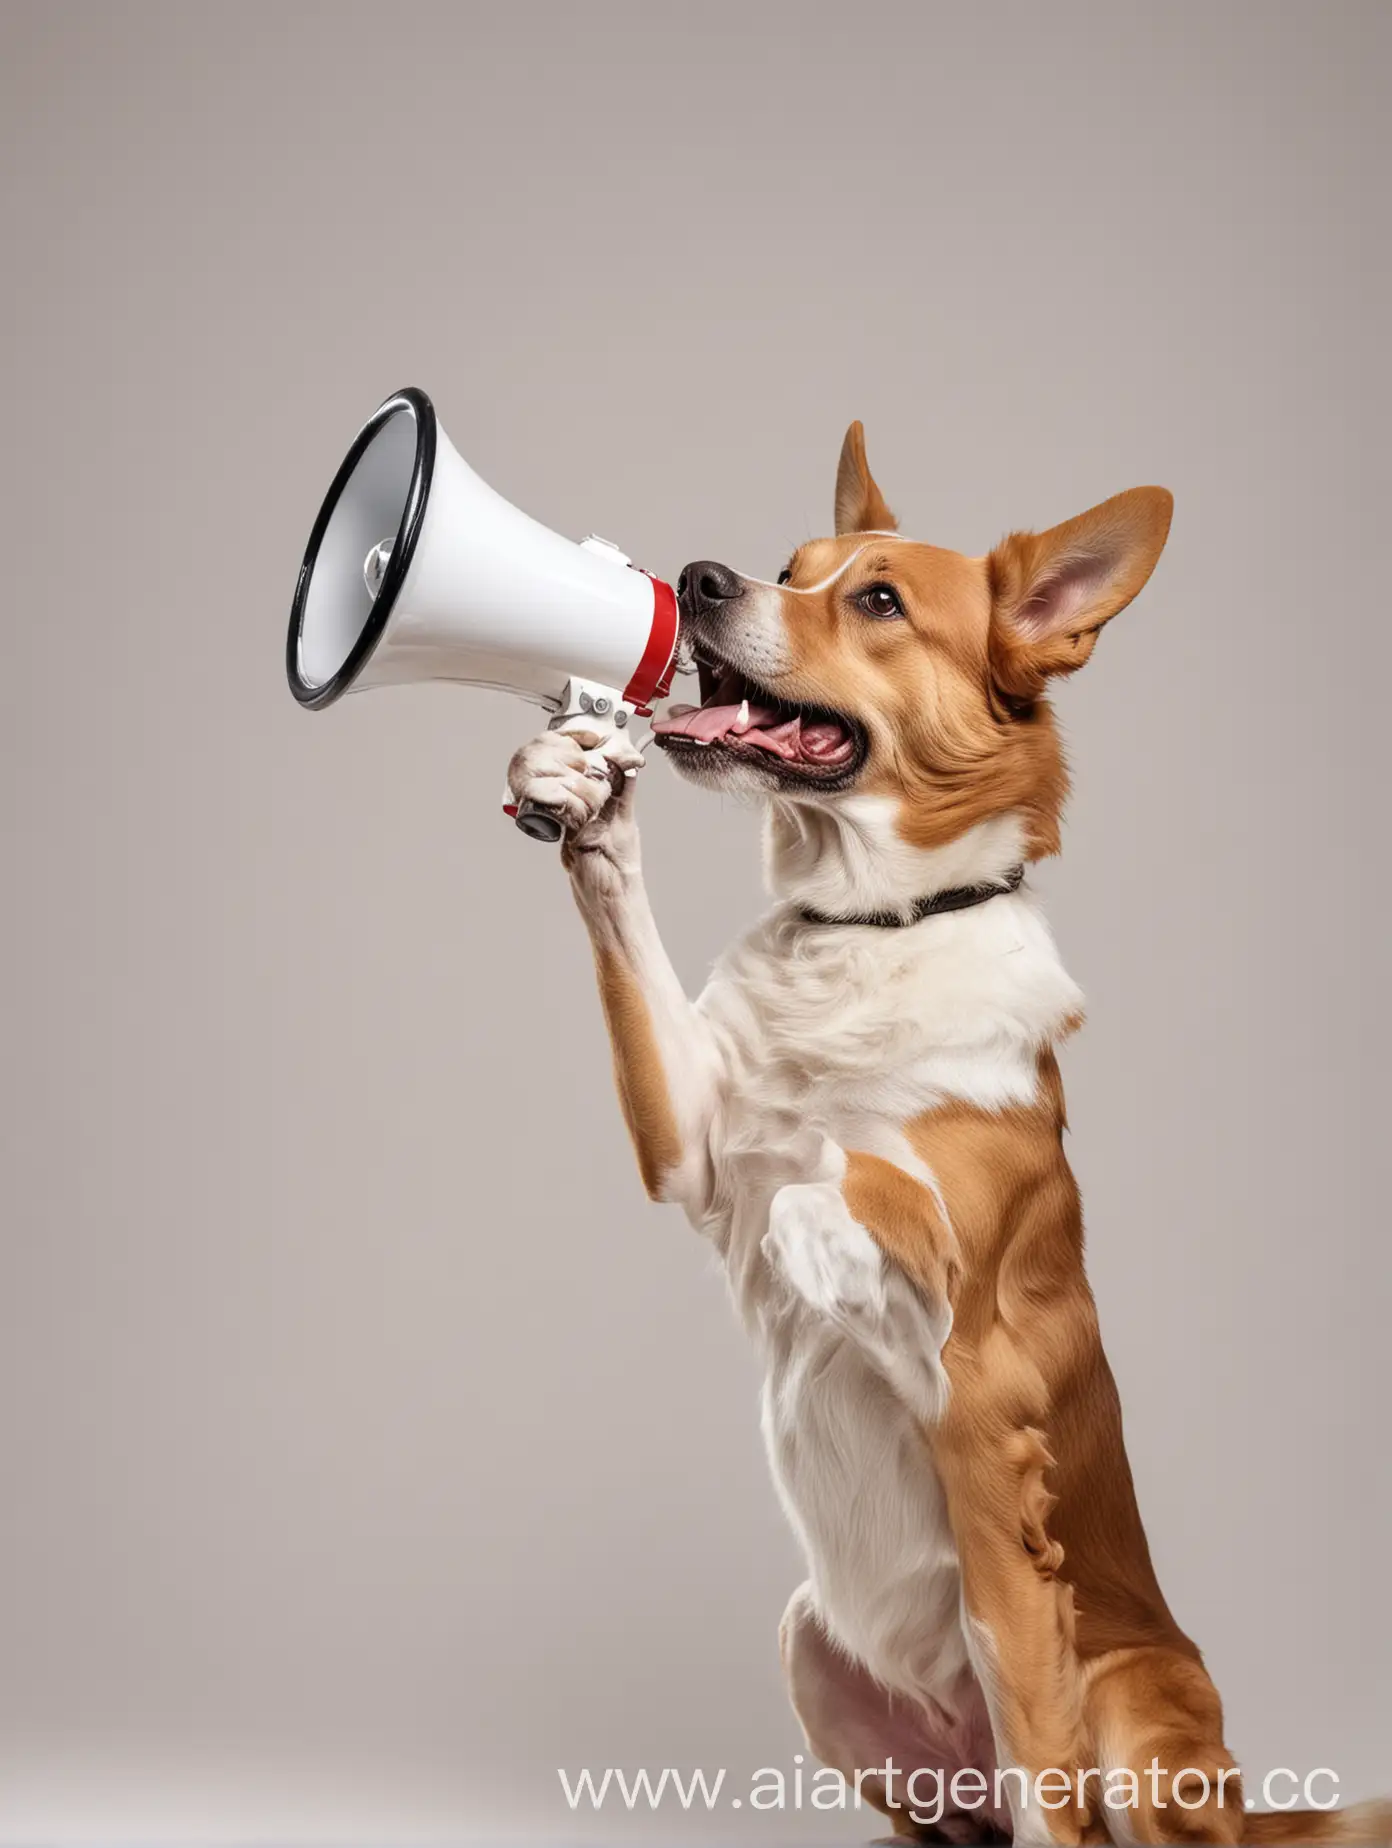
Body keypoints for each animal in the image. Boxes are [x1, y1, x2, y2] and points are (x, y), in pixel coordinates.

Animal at [506, 428, 1382, 1848]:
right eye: (791, 561)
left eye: (876, 601)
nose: (699, 578)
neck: (874, 927)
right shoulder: (690, 1149)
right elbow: (643, 954)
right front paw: (574, 783)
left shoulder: (970, 1353)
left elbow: (873, 1182)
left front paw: (824, 1196)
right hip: (814, 1648)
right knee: (955, 1824)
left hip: (1122, 1701)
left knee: (1064, 1796)